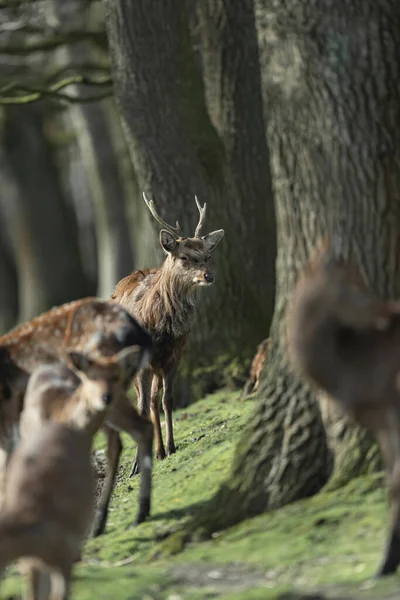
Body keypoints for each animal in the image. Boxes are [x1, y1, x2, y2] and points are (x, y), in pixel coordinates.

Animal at [112, 195, 225, 476]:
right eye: (184, 256)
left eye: (207, 255)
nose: (209, 275)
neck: (161, 328)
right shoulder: (141, 360)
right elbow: (141, 407)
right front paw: (136, 465)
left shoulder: (175, 355)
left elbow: (167, 400)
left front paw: (171, 447)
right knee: (143, 402)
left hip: (158, 365)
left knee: (154, 400)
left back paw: (160, 450)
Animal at [286, 233, 400, 576]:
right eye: (356, 282)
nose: (389, 313)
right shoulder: (382, 421)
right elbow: (392, 484)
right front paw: (385, 563)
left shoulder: (392, 409)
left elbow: (396, 483)